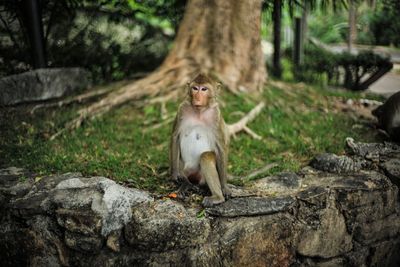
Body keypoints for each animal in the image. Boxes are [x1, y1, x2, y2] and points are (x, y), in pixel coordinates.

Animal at [170, 73, 231, 207]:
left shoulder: (216, 115)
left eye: (204, 89)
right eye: (195, 88)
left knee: (206, 156)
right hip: (186, 169)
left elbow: (221, 147)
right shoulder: (182, 109)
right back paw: (186, 184)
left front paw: (224, 186)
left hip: (202, 177)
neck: (199, 111)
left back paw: (217, 197)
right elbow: (175, 136)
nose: (197, 98)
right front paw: (174, 174)